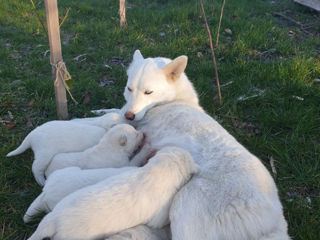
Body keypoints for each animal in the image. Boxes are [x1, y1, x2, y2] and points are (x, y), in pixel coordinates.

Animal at [107, 49, 290, 239]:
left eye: (148, 92)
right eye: (129, 89)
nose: (129, 116)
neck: (175, 101)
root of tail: (273, 219)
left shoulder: (149, 143)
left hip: (184, 205)